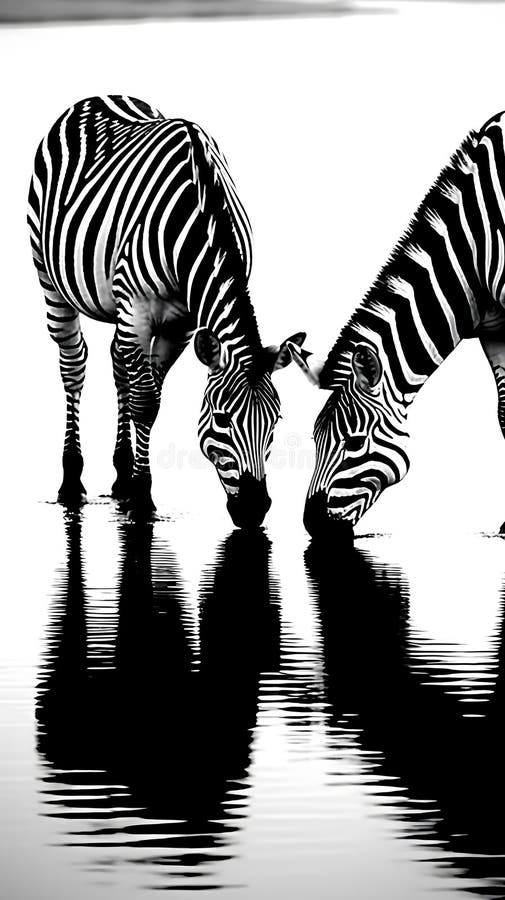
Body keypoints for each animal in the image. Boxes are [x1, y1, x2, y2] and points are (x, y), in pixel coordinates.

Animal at [27, 95, 304, 526]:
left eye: (274, 422)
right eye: (221, 420)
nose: (254, 510)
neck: (200, 219)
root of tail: (99, 96)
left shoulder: (182, 325)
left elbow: (149, 395)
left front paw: (133, 483)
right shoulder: (139, 309)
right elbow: (146, 401)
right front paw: (143, 499)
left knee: (118, 365)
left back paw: (120, 472)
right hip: (50, 277)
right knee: (74, 366)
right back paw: (71, 481)